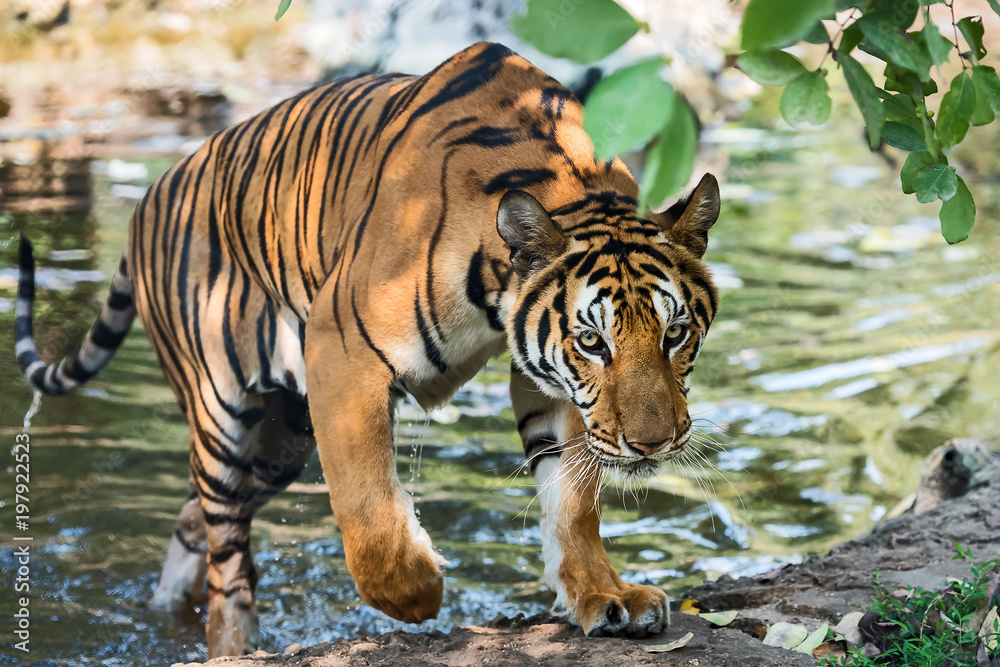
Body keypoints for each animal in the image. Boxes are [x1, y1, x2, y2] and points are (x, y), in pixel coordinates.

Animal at [14, 42, 721, 658]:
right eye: (593, 341)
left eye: (675, 333)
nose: (654, 444)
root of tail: (148, 200)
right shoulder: (341, 350)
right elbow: (368, 510)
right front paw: (419, 594)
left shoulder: (550, 379)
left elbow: (573, 503)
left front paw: (606, 596)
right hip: (222, 415)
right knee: (226, 563)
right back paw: (229, 646)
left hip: (281, 442)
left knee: (194, 522)